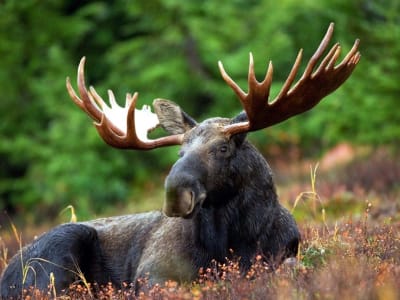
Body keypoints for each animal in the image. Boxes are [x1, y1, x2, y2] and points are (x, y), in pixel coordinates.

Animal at [0, 24, 360, 298]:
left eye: (223, 148)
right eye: (179, 153)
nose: (175, 194)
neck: (234, 240)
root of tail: (6, 274)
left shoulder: (284, 254)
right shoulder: (152, 274)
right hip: (58, 252)